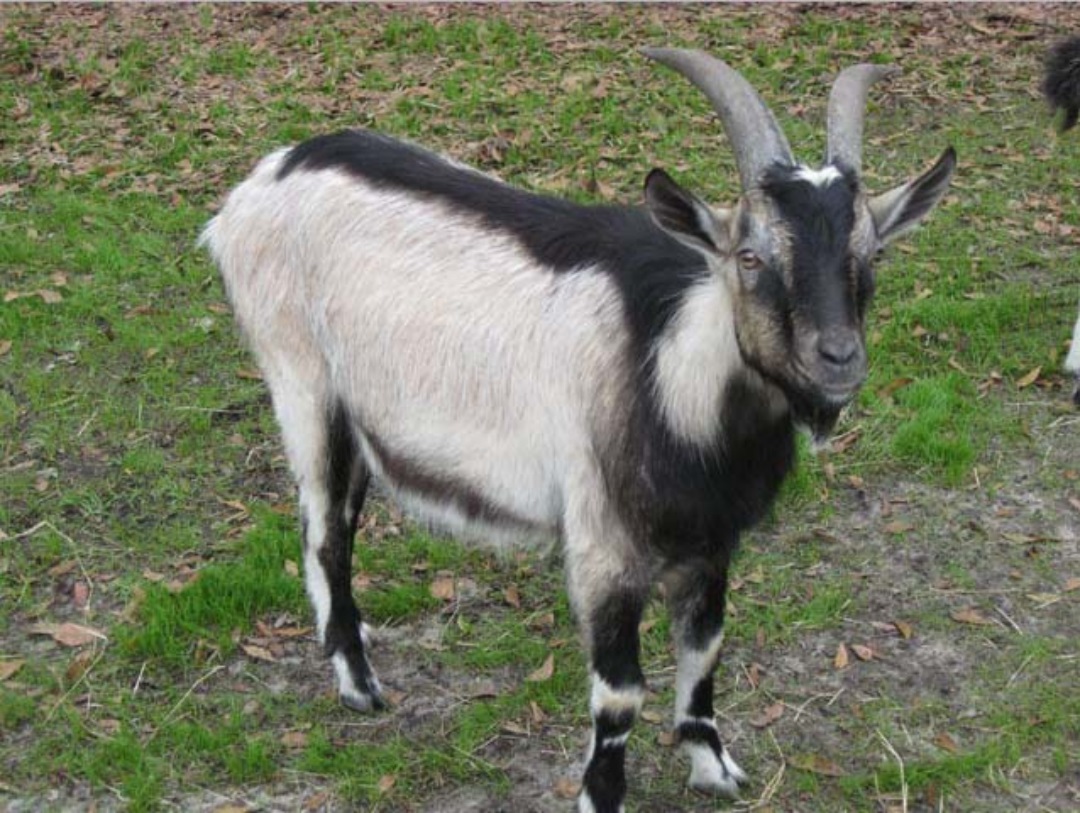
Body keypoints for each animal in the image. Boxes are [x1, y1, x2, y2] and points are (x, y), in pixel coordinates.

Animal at [202, 49, 955, 812]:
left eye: (872, 254)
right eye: (750, 256)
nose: (838, 359)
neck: (669, 376)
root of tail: (258, 185)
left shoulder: (712, 541)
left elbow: (704, 647)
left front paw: (712, 763)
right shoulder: (603, 546)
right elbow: (620, 694)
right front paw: (602, 794)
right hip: (302, 382)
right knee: (325, 531)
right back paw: (359, 685)